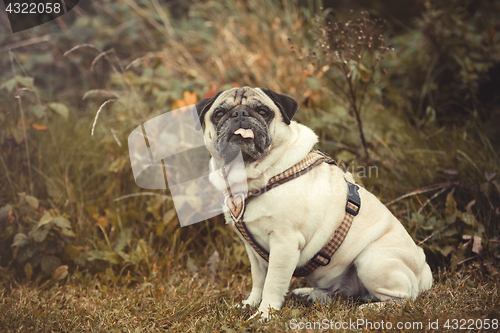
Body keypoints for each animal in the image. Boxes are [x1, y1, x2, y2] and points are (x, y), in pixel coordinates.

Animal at [193, 86, 432, 320]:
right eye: (219, 114)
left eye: (263, 112)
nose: (240, 114)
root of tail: (424, 270)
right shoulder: (254, 251)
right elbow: (259, 281)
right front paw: (250, 304)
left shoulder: (284, 244)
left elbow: (272, 283)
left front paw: (265, 314)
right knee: (345, 293)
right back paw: (312, 294)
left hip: (372, 260)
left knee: (402, 299)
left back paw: (371, 309)